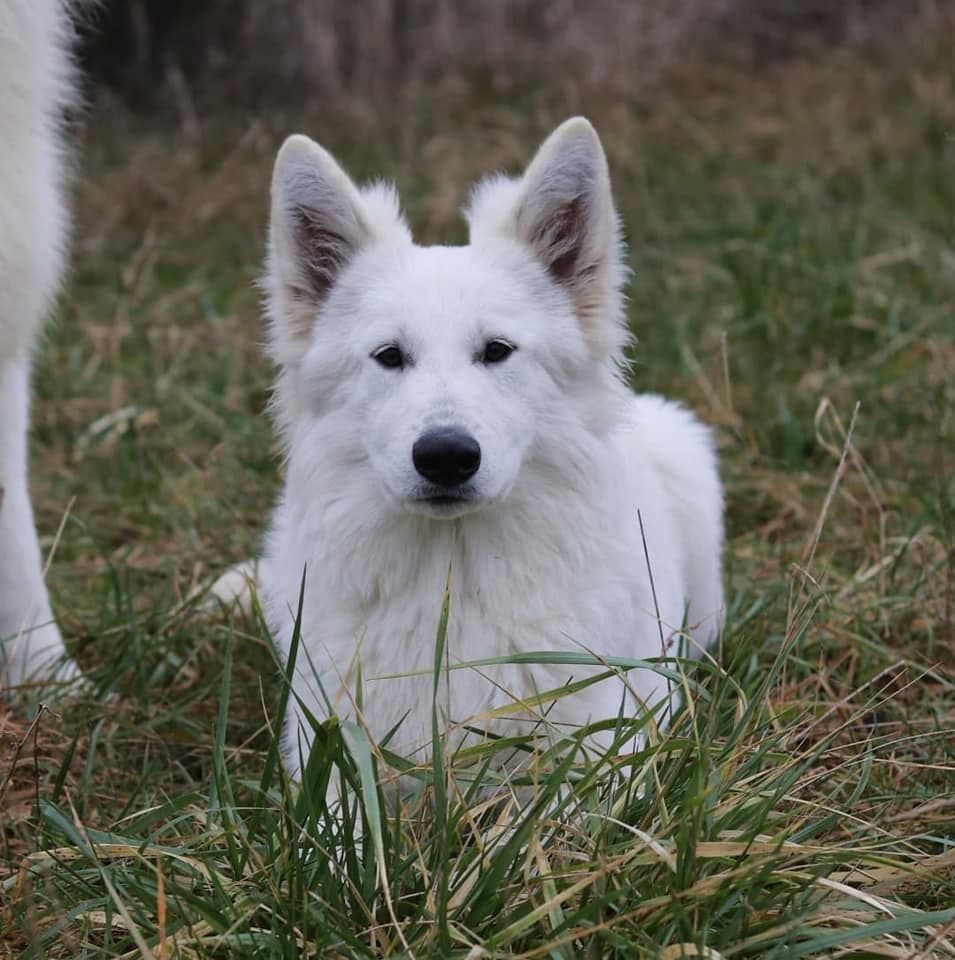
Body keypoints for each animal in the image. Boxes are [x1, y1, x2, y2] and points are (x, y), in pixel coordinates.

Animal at [262, 120, 724, 780]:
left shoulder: (608, 748)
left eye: (497, 350)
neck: (452, 580)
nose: (446, 457)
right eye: (389, 356)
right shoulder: (325, 750)